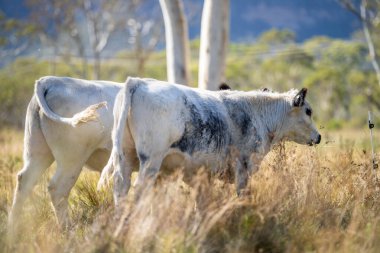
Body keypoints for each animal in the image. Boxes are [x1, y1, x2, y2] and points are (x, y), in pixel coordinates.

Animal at [8, 75, 122, 227]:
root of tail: (51, 80)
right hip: (72, 159)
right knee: (58, 188)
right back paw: (67, 228)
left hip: (37, 153)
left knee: (24, 180)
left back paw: (12, 228)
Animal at [95, 78, 320, 201]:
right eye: (308, 111)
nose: (318, 136)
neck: (256, 113)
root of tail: (138, 82)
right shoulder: (243, 167)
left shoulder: (202, 174)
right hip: (151, 160)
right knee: (139, 191)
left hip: (125, 157)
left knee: (120, 189)